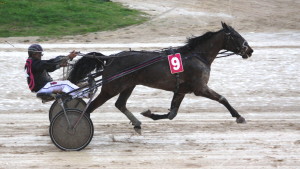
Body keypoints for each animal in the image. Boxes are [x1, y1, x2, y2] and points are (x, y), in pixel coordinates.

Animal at [68, 22, 253, 133]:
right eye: (237, 36)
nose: (249, 50)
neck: (197, 56)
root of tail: (110, 58)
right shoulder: (200, 88)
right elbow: (222, 98)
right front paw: (239, 116)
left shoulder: (181, 91)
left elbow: (172, 114)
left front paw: (149, 114)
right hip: (111, 88)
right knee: (90, 109)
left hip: (128, 85)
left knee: (120, 104)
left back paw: (136, 123)